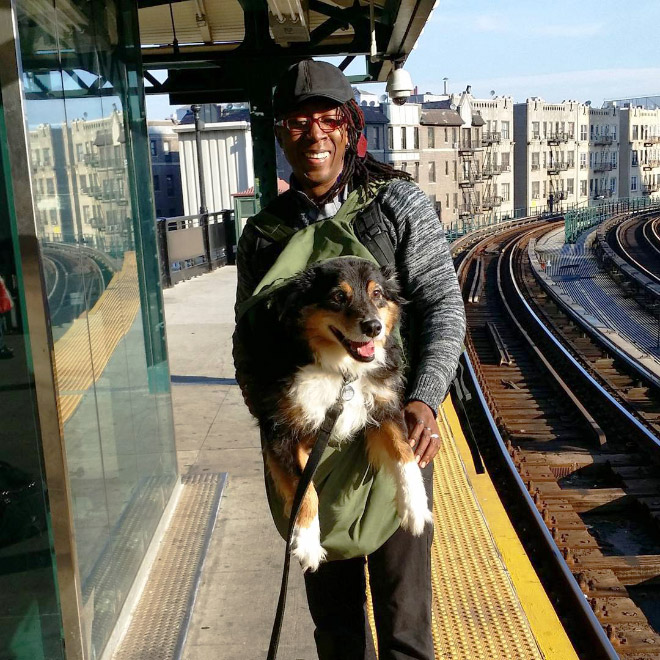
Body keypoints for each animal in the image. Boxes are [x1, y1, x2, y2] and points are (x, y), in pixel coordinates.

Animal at [237, 258, 434, 572]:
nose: (374, 327)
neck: (340, 373)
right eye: (339, 296)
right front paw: (307, 543)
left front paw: (414, 507)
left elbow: (404, 454)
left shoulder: (385, 406)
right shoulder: (282, 432)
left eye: (377, 294)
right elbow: (305, 491)